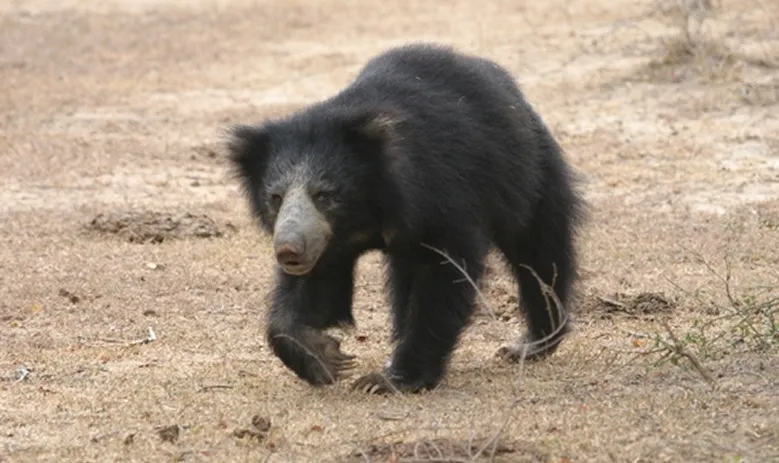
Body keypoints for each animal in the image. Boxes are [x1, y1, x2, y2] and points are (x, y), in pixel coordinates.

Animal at [227, 43, 585, 394]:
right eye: (275, 198)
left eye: (324, 195)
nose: (289, 250)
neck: (368, 213)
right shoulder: (326, 239)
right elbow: (314, 287)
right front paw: (323, 358)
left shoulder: (441, 198)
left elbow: (443, 280)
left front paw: (390, 379)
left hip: (530, 175)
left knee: (540, 252)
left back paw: (531, 343)